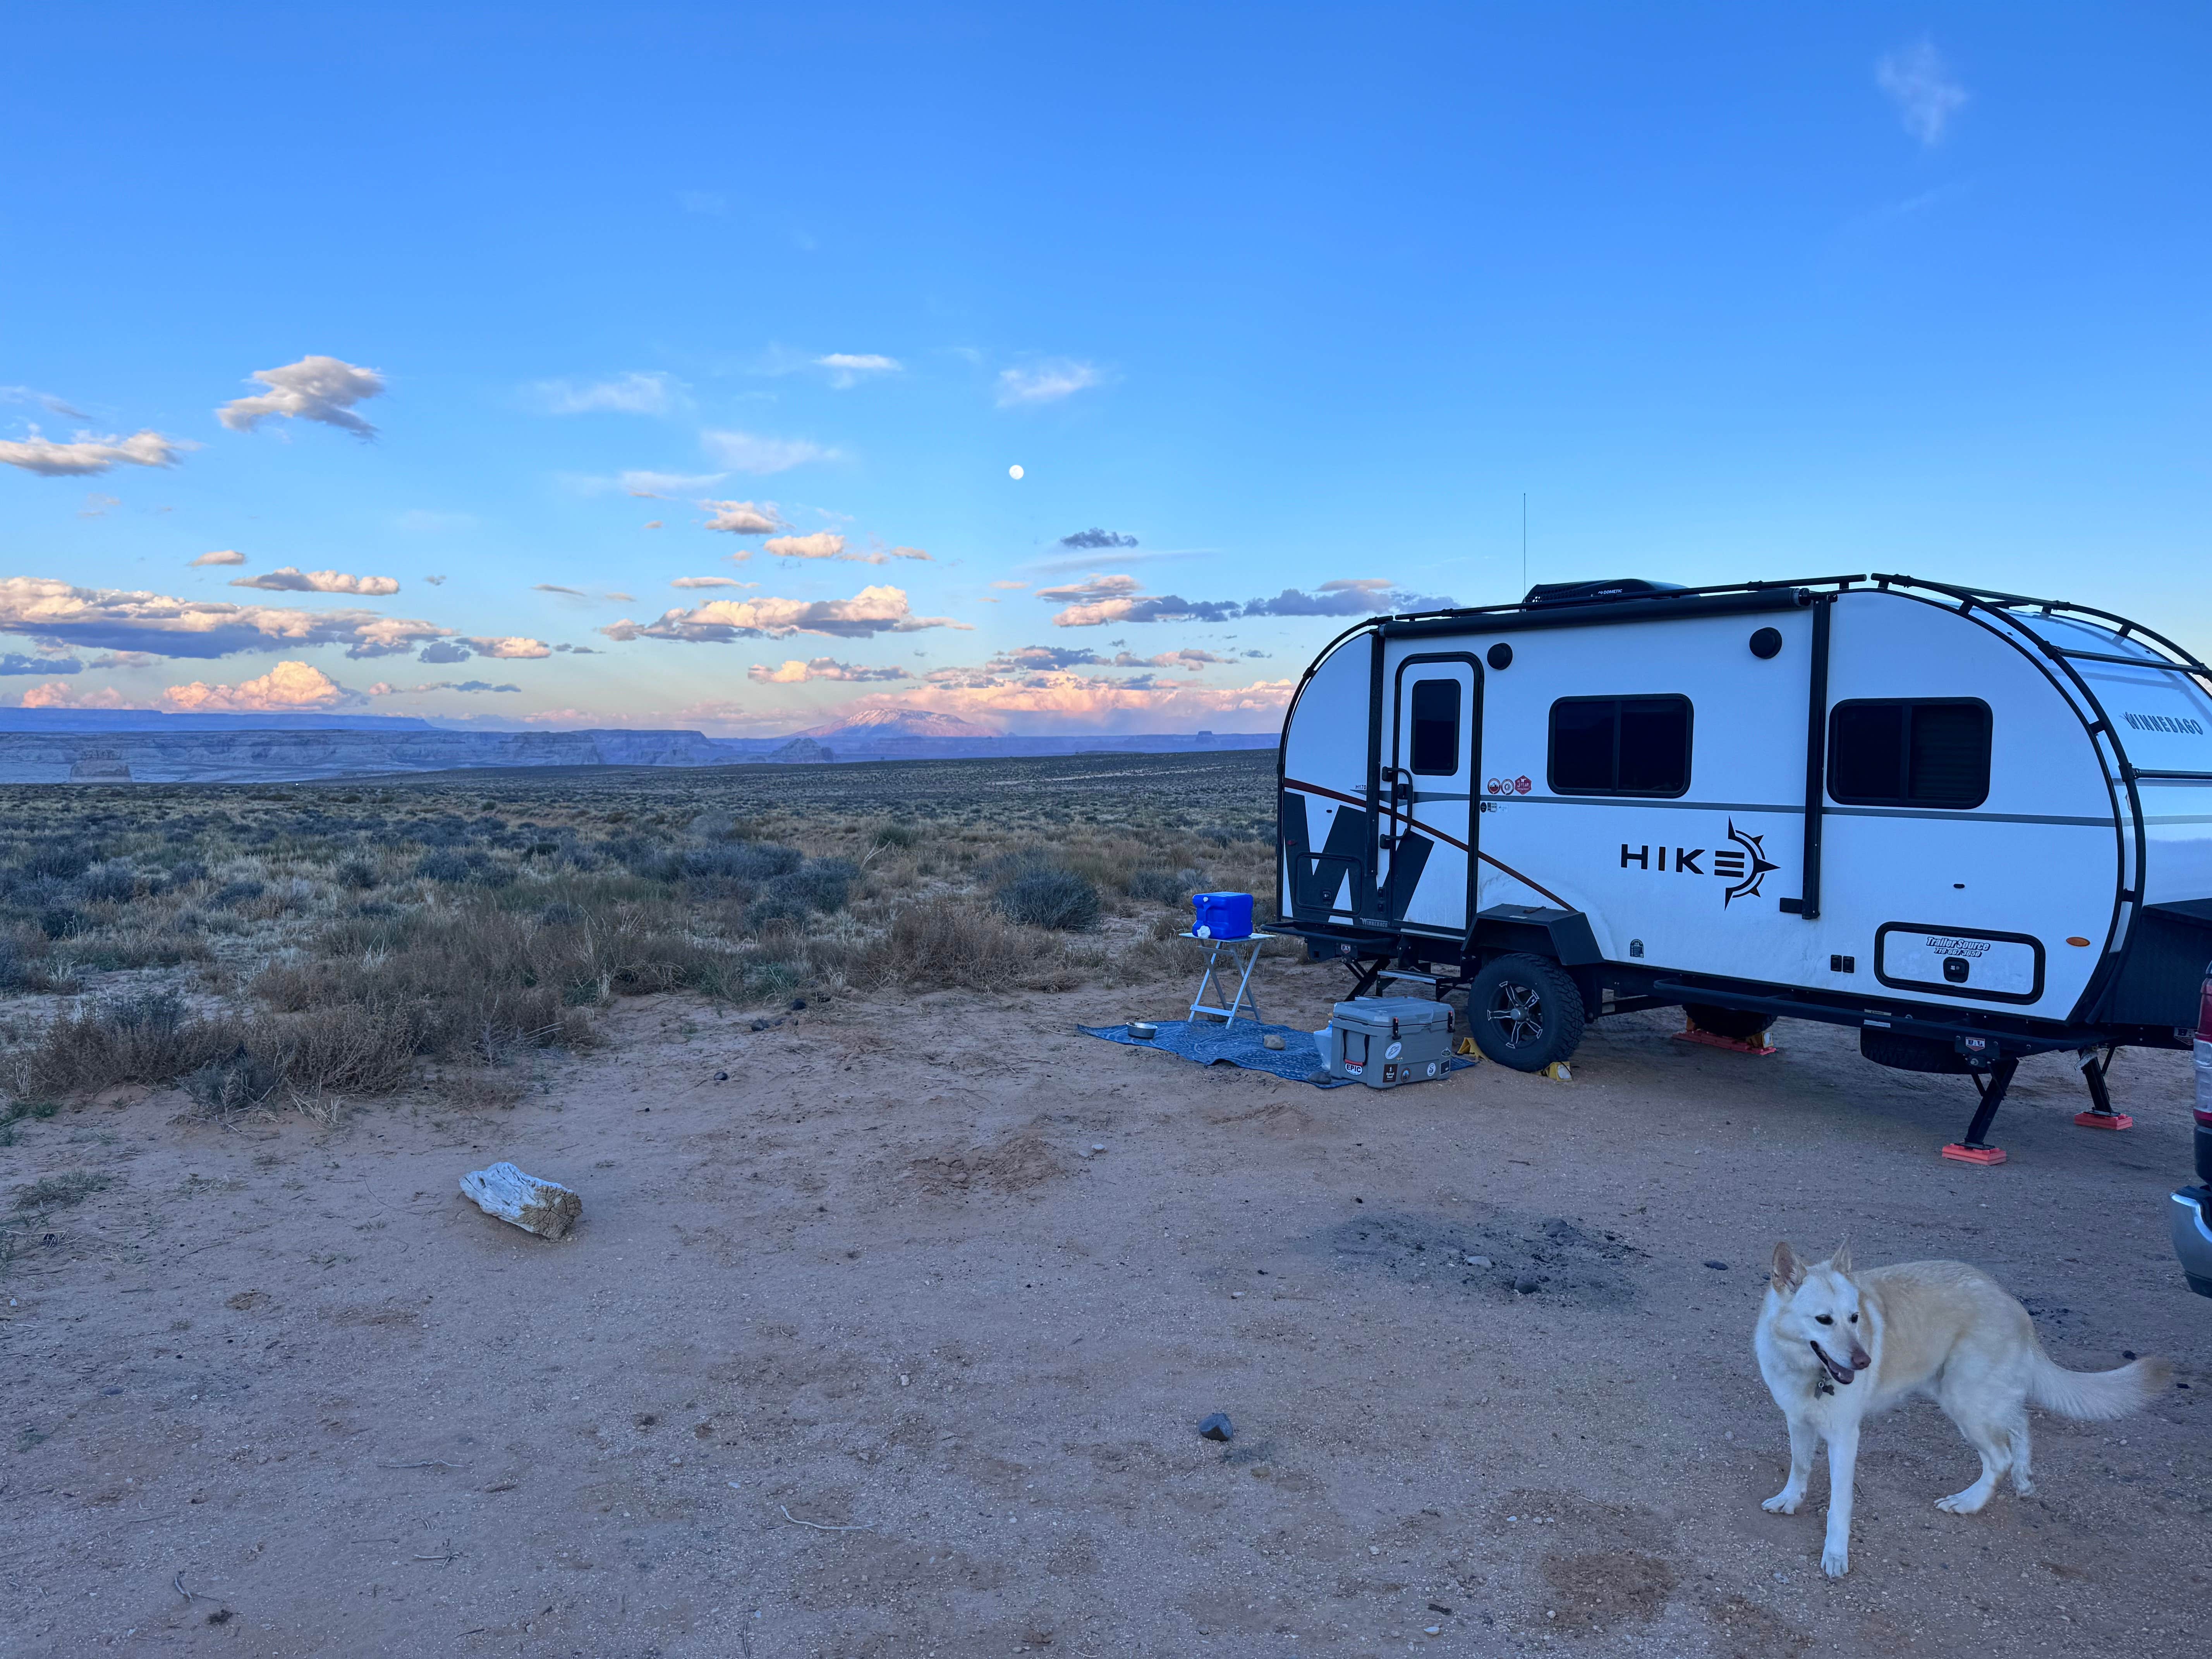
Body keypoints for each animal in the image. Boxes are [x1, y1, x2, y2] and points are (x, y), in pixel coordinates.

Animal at [1752, 1247, 2167, 1583]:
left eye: (1855, 1318)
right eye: (1824, 1320)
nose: (1864, 1361)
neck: (1807, 1372)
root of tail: (2013, 1304)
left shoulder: (1844, 1438)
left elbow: (1839, 1504)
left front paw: (1836, 1554)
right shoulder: (1797, 1421)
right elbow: (1800, 1466)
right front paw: (1790, 1500)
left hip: (1964, 1400)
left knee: (2000, 1456)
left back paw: (1968, 1502)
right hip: (1967, 1393)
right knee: (2020, 1423)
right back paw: (2024, 1478)